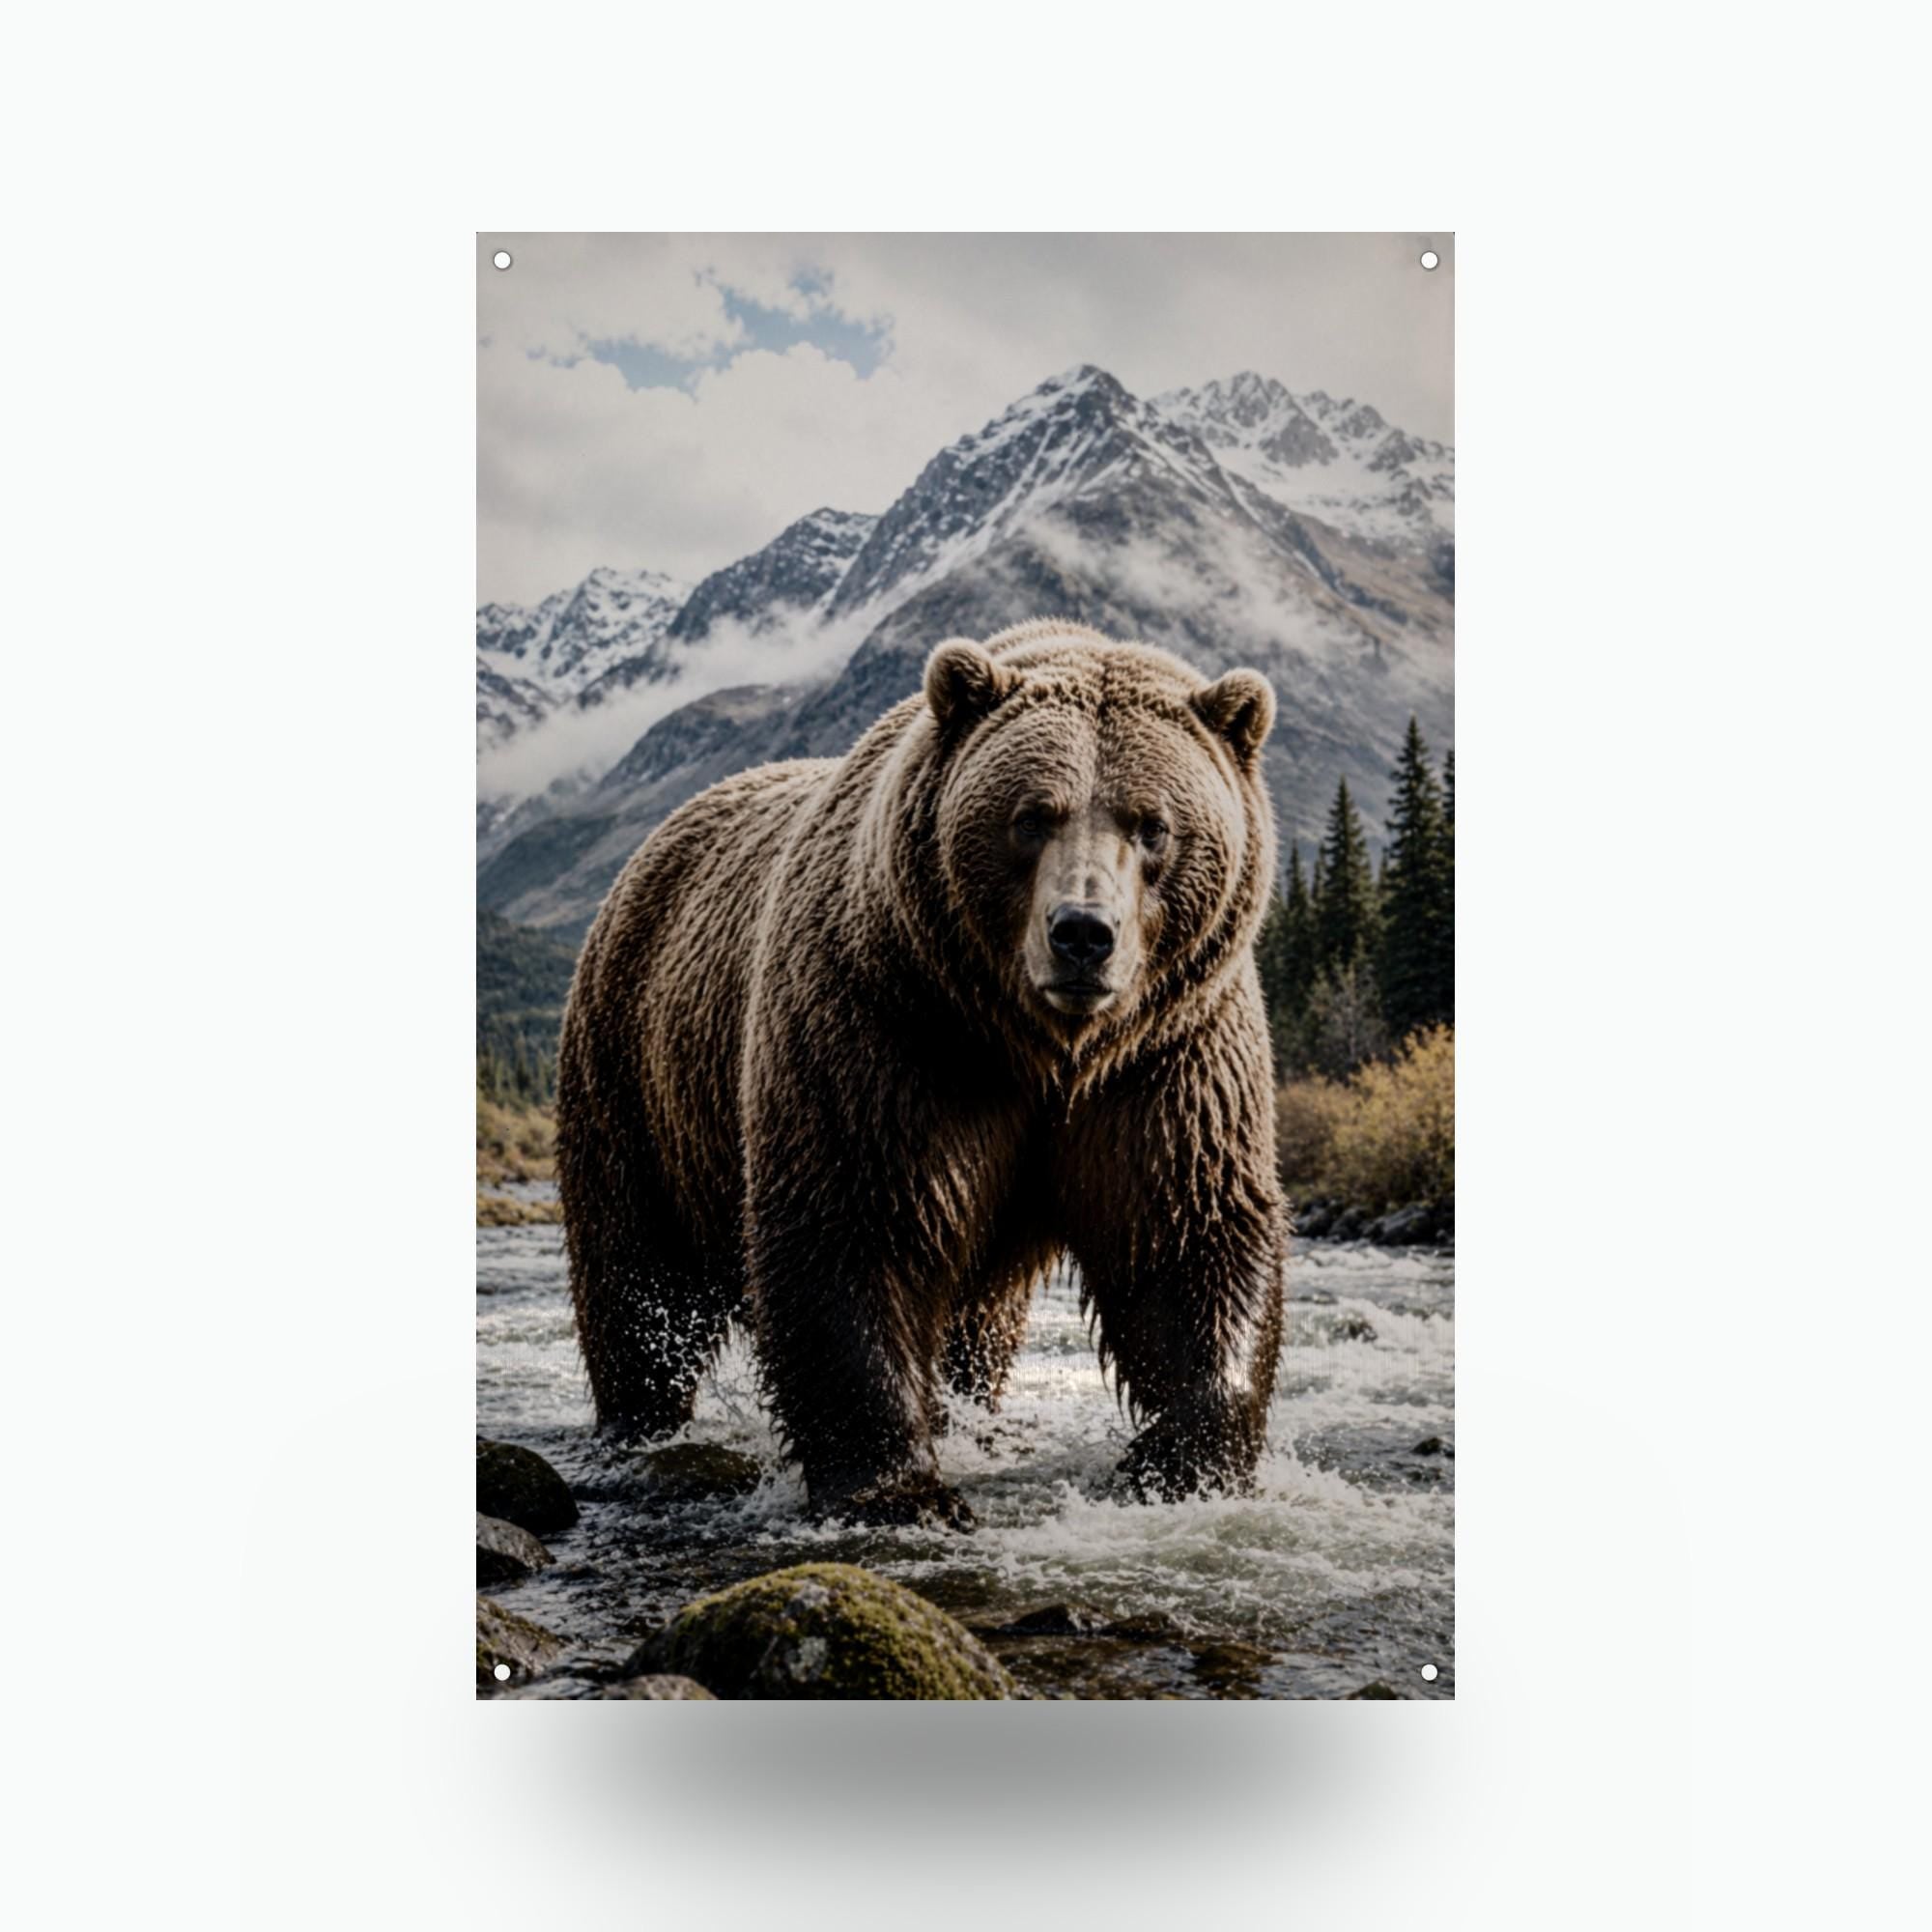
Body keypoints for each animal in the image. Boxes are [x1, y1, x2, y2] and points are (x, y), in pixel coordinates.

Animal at [556, 618, 1287, 1527]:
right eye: (1031, 817)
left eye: (1152, 824)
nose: (1083, 933)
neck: (1039, 1046)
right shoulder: (891, 1029)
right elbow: (855, 1223)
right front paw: (900, 1488)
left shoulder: (1167, 1058)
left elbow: (1189, 1235)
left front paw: (1185, 1464)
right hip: (634, 1070)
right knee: (633, 1273)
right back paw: (639, 1420)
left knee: (978, 1324)